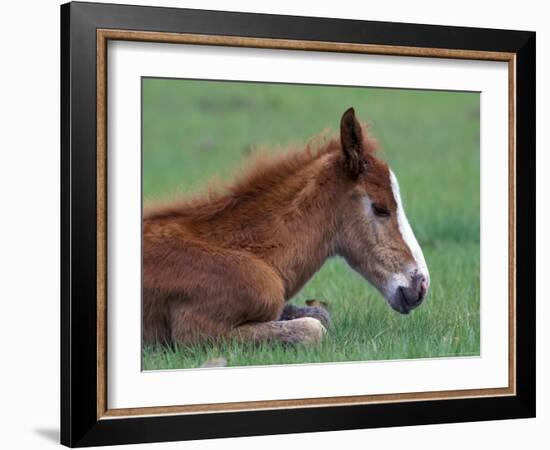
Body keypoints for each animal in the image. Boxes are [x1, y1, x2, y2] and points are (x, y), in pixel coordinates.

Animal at [142, 107, 432, 346]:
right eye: (381, 208)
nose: (420, 285)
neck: (249, 252)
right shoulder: (195, 331)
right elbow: (314, 327)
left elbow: (320, 313)